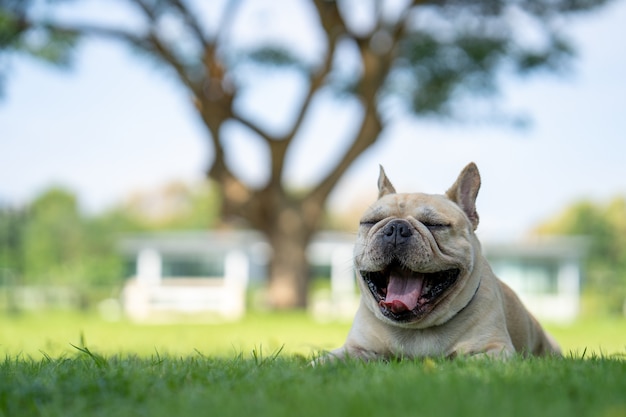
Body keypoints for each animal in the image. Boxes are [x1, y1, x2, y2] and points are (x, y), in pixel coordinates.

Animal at [324, 162, 560, 360]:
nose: (397, 228)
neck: (417, 328)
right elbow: (329, 359)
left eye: (435, 224)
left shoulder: (496, 349)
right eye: (371, 222)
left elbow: (470, 360)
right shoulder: (355, 349)